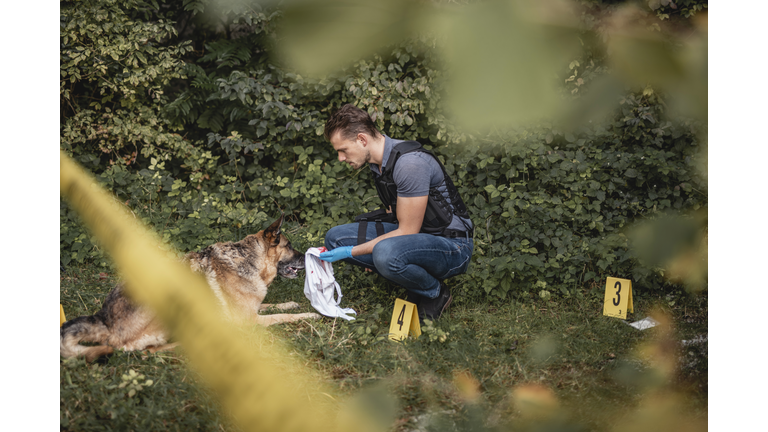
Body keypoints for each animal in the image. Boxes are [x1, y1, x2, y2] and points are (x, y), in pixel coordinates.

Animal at [59, 213, 318, 362]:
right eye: (289, 245)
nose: (306, 257)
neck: (250, 259)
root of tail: (104, 318)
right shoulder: (249, 320)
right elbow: (284, 316)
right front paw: (310, 314)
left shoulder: (254, 308)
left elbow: (274, 305)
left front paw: (292, 303)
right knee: (147, 349)